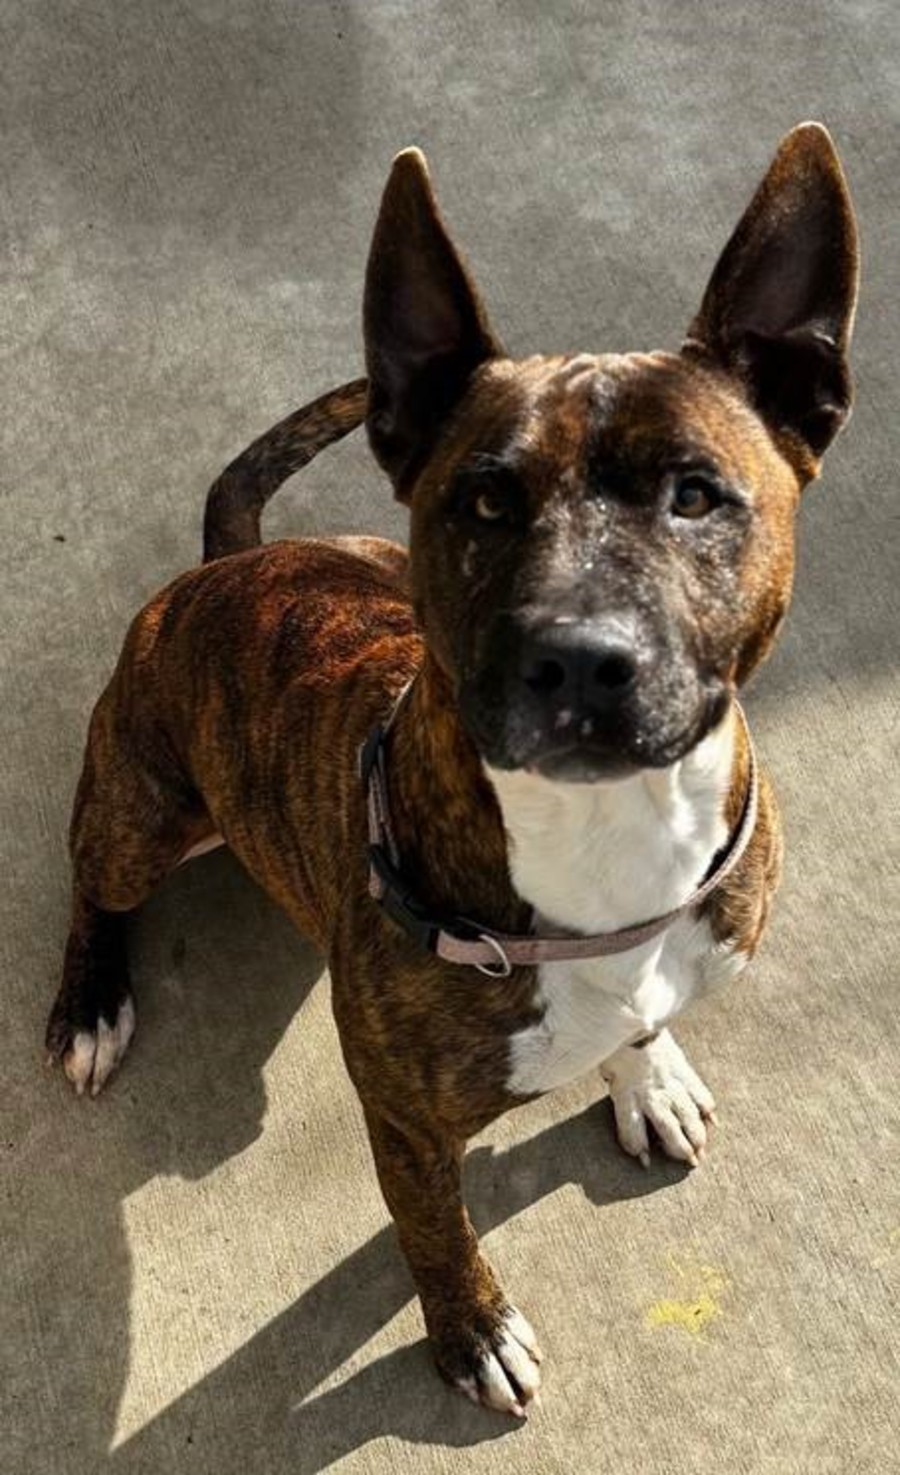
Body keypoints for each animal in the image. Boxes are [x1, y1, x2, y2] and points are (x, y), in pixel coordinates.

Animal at [47, 123, 858, 1417]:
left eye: (695, 493)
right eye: (482, 499)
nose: (579, 656)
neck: (606, 846)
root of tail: (234, 559)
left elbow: (639, 1025)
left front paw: (648, 1073)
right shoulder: (406, 1121)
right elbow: (435, 1230)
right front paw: (470, 1327)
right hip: (142, 803)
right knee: (93, 879)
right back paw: (88, 1001)